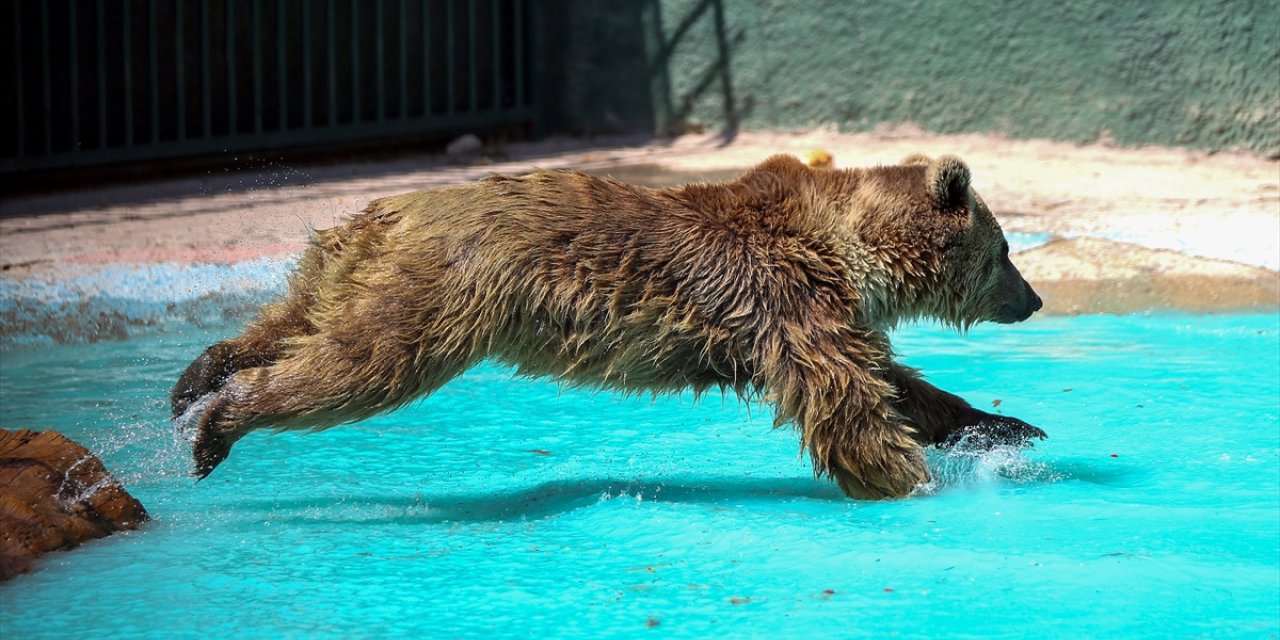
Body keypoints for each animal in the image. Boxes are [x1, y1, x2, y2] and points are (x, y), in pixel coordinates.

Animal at [172, 153, 1039, 499]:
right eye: (1005, 249)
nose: (1031, 299)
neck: (848, 249)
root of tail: (387, 211)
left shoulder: (820, 313)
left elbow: (898, 384)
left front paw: (1006, 427)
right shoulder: (787, 302)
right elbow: (849, 405)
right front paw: (917, 482)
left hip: (347, 266)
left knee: (299, 320)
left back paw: (196, 380)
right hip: (444, 292)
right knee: (363, 364)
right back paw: (220, 424)